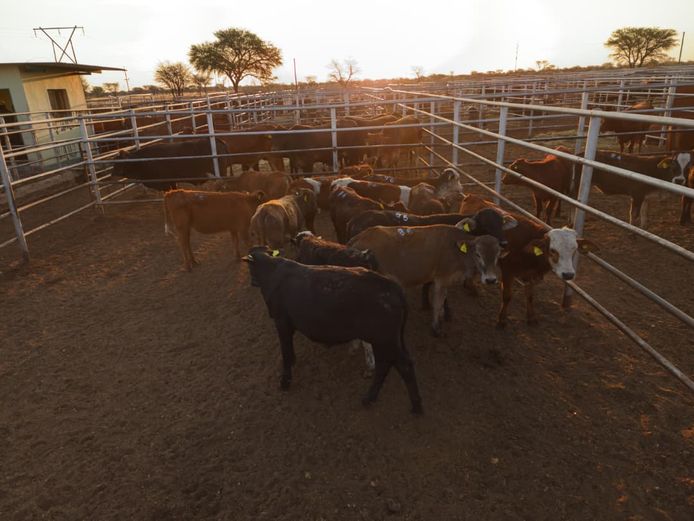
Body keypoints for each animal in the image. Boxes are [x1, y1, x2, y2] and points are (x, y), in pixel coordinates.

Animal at [242, 246, 423, 414]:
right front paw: (293, 361)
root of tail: (393, 287)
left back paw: (414, 406)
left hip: (384, 340)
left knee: (402, 365)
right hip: (386, 340)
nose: (252, 282)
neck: (272, 273)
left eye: (250, 266)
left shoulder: (281, 321)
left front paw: (285, 381)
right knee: (386, 364)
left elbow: (285, 352)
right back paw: (371, 398)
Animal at [348, 224, 503, 337]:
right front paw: (436, 328)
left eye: (497, 255)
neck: (457, 251)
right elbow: (438, 302)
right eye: (478, 254)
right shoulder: (441, 278)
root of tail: (359, 236)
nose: (490, 279)